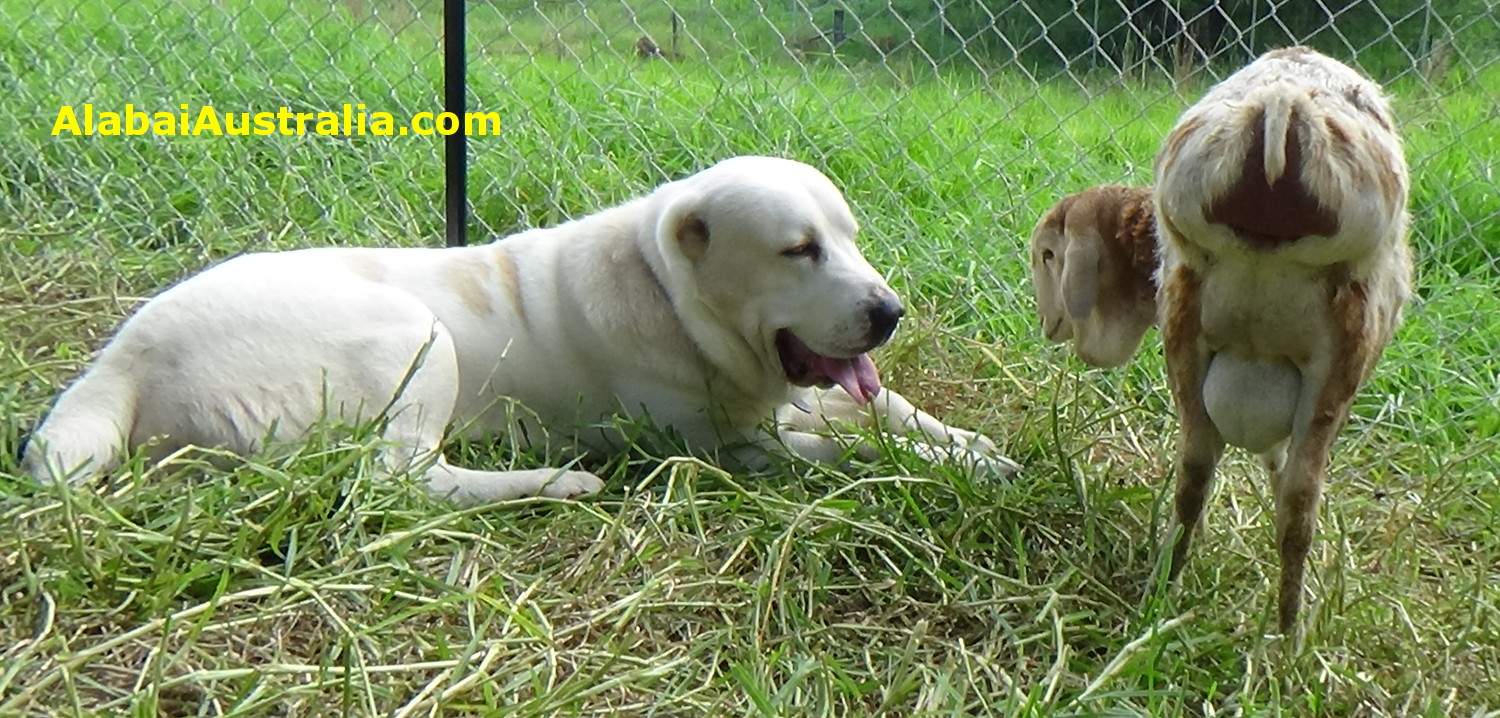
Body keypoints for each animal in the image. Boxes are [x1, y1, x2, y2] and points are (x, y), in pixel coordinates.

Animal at [23, 154, 1020, 503]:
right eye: (798, 249)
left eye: (849, 238)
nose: (889, 314)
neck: (670, 297)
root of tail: (119, 359)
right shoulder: (740, 450)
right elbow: (855, 446)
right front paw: (957, 466)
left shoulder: (789, 407)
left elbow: (890, 410)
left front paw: (973, 445)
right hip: (415, 334)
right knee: (405, 480)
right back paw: (558, 482)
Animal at [1152, 46, 1410, 635]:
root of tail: (1282, 99)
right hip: (1342, 347)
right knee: (1299, 498)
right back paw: (1290, 633)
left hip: (1185, 317)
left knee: (1194, 468)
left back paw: (1164, 590)